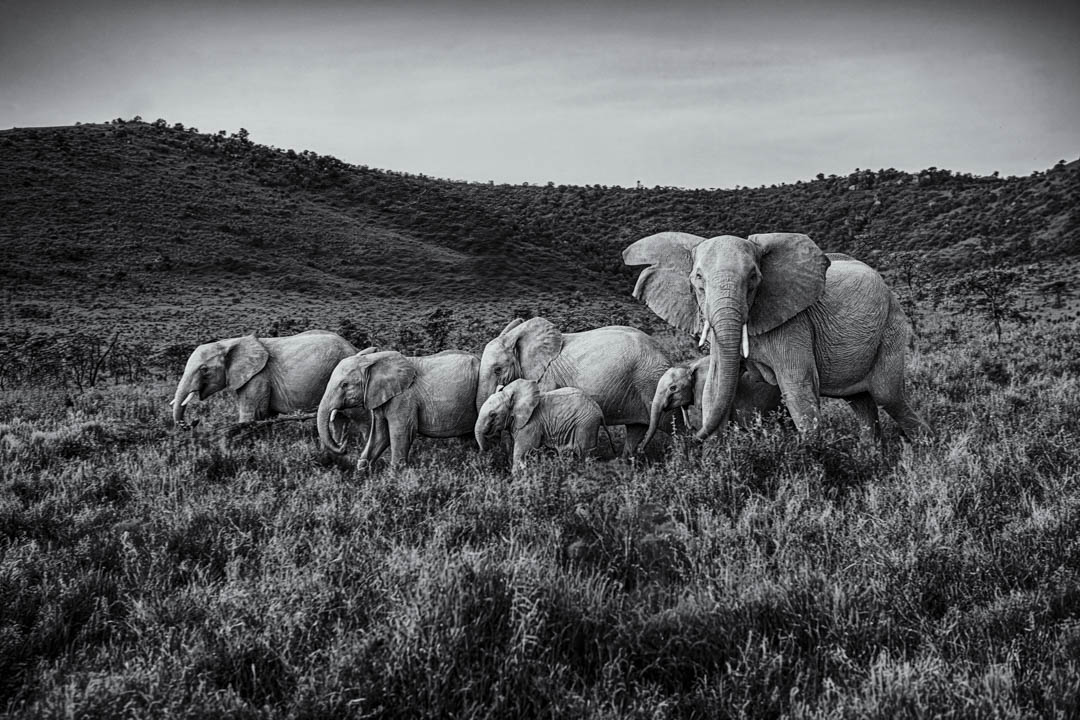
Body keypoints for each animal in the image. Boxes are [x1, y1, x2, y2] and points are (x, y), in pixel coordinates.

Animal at [171, 330, 364, 437]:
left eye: (204, 369)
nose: (194, 421)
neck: (229, 343)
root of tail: (354, 347)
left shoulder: (258, 377)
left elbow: (251, 415)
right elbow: (266, 416)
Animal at [318, 349, 479, 467]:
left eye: (344, 385)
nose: (343, 446)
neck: (372, 360)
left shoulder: (403, 399)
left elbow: (402, 432)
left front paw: (395, 476)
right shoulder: (380, 397)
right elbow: (380, 435)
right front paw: (362, 472)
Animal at [475, 379, 604, 473]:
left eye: (492, 414)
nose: (486, 452)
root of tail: (599, 411)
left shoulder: (531, 425)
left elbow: (521, 452)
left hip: (586, 425)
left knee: (585, 456)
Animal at [476, 317, 673, 455]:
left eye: (498, 370)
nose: (491, 445)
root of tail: (665, 354)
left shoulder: (547, 379)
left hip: (652, 381)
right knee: (636, 430)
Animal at [622, 232, 931, 441]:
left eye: (753, 278)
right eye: (698, 279)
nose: (690, 438)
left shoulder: (794, 323)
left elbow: (797, 386)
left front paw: (815, 461)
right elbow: (715, 385)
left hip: (891, 323)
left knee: (888, 395)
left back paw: (925, 447)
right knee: (861, 402)